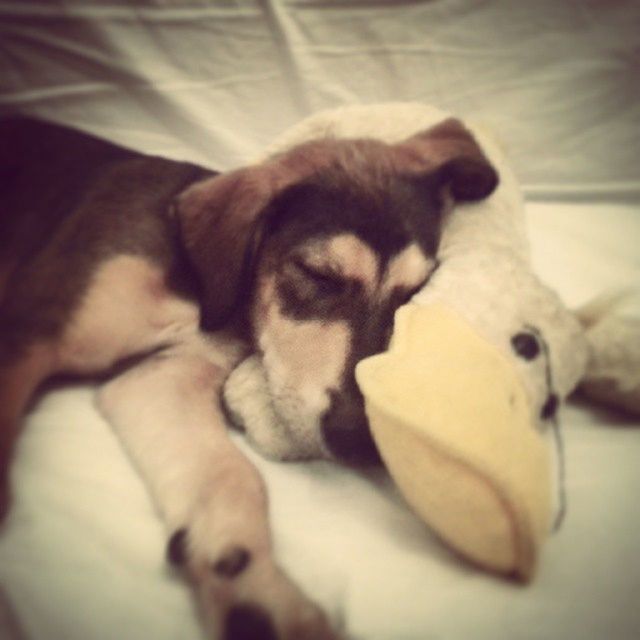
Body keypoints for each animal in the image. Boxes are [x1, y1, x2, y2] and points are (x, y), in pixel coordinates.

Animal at [0, 115, 498, 640]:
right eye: (318, 275)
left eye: (411, 295)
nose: (359, 442)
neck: (197, 280)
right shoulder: (26, 331)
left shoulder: (162, 376)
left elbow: (232, 476)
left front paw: (256, 595)